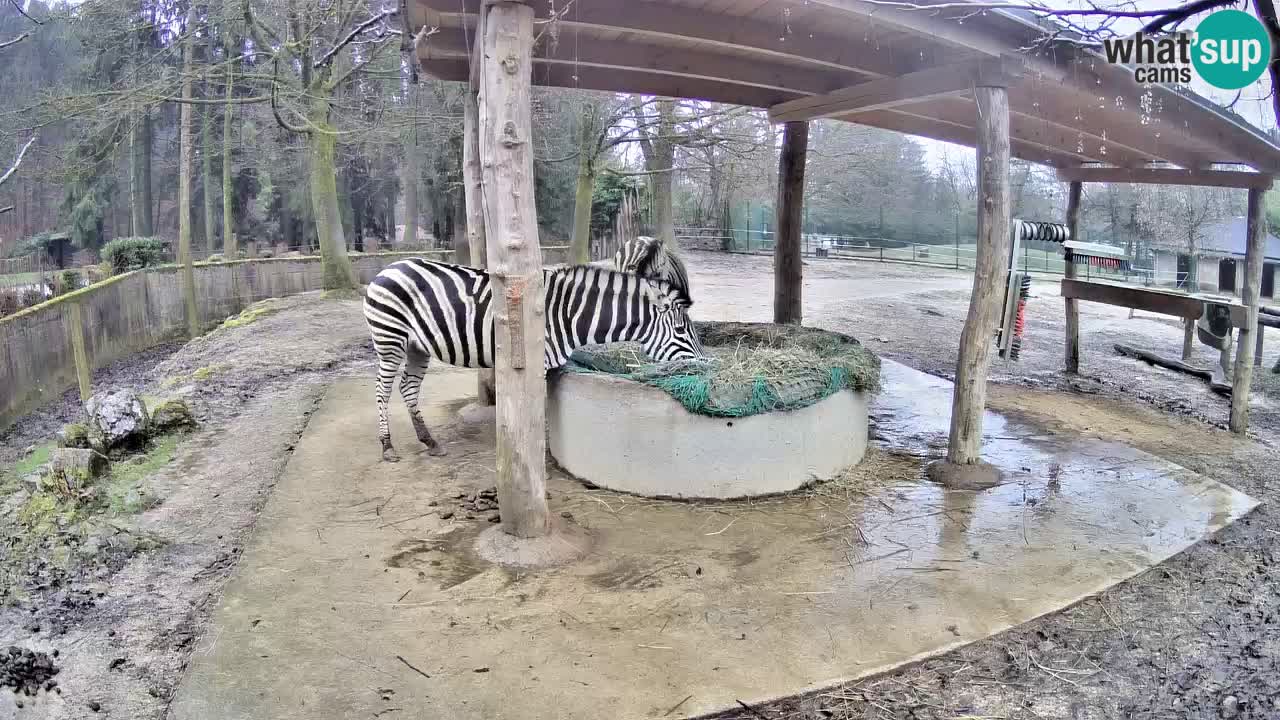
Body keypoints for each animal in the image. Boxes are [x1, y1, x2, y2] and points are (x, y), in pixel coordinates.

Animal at [366, 257, 706, 458]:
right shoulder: (535, 364)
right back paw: (387, 446)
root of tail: (388, 267)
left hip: (417, 345)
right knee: (382, 390)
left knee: (408, 388)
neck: (568, 314)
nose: (704, 367)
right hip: (389, 337)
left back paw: (429, 441)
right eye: (680, 330)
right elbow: (532, 414)